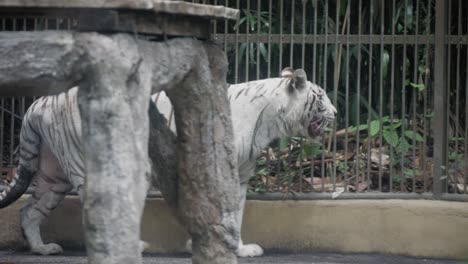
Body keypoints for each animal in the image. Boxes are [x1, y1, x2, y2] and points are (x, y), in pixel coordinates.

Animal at [0, 67, 336, 256]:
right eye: (321, 97)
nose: (336, 113)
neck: (270, 118)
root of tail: (37, 103)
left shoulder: (238, 175)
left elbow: (235, 213)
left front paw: (238, 248)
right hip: (90, 165)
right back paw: (132, 247)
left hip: (53, 175)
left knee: (30, 210)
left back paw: (42, 249)